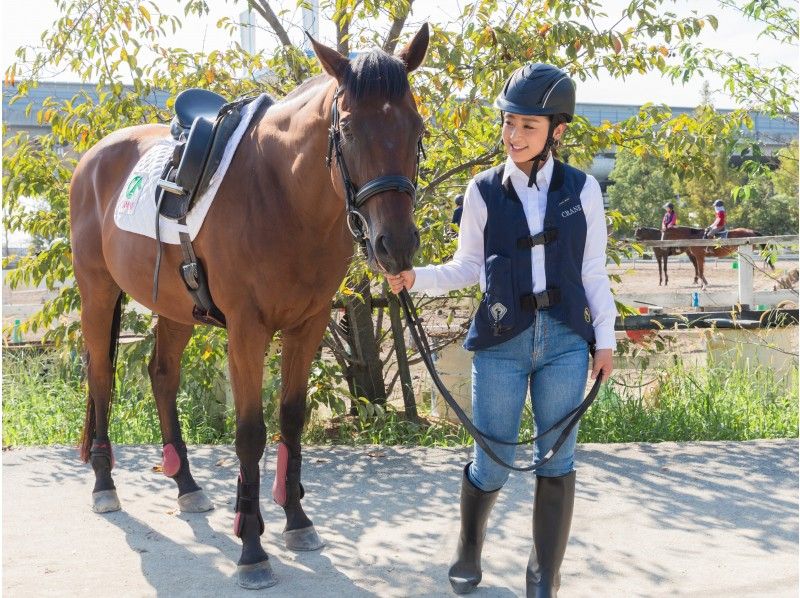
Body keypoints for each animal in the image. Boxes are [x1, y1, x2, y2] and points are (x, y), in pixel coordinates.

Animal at [69, 27, 432, 592]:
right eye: (349, 129)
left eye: (415, 128)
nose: (395, 246)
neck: (283, 192)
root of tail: (93, 159)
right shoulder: (246, 331)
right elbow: (249, 435)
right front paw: (252, 547)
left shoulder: (307, 326)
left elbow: (291, 420)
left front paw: (297, 521)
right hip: (98, 292)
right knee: (102, 380)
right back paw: (105, 485)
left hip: (176, 309)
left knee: (162, 376)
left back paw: (186, 484)